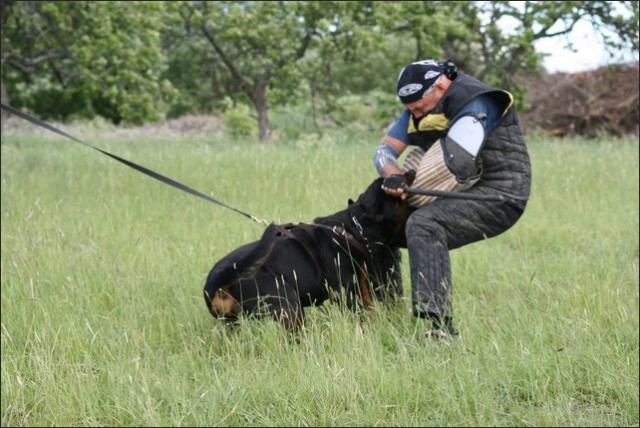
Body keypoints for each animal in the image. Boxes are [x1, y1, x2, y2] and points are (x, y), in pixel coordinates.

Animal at [202, 169, 418, 330]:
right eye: (395, 180)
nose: (410, 170)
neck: (353, 229)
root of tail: (214, 281)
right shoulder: (347, 294)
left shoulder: (361, 287)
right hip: (287, 304)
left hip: (236, 322)